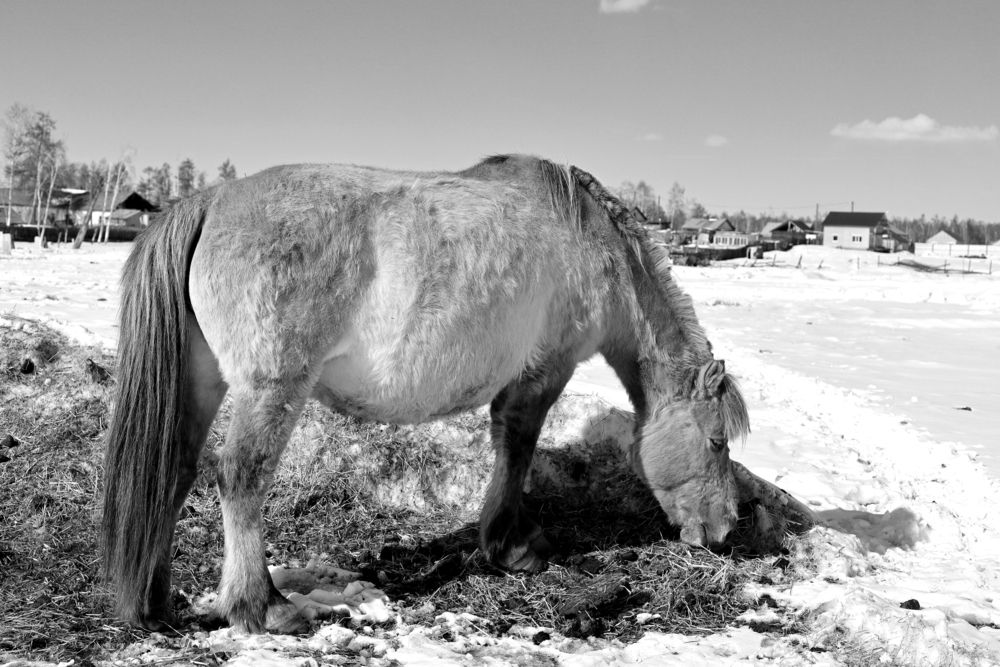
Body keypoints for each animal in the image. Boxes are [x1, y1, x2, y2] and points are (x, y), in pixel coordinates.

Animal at [101, 154, 757, 634]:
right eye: (717, 441)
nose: (726, 530)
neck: (589, 241)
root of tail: (210, 201)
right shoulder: (546, 370)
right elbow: (516, 449)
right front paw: (510, 545)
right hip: (270, 388)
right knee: (240, 476)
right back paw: (262, 607)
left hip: (204, 382)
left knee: (175, 470)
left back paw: (156, 601)